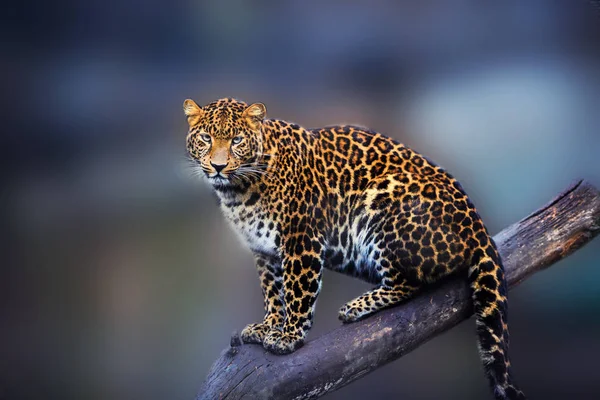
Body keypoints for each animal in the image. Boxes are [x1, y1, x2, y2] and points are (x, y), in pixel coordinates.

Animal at [183, 97, 524, 400]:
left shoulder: (300, 239)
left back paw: (355, 306)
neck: (238, 192)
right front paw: (268, 325)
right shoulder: (263, 252)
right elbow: (272, 292)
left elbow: (296, 291)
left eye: (237, 140)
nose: (218, 166)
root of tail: (479, 228)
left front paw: (289, 336)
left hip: (382, 203)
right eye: (206, 138)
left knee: (409, 283)